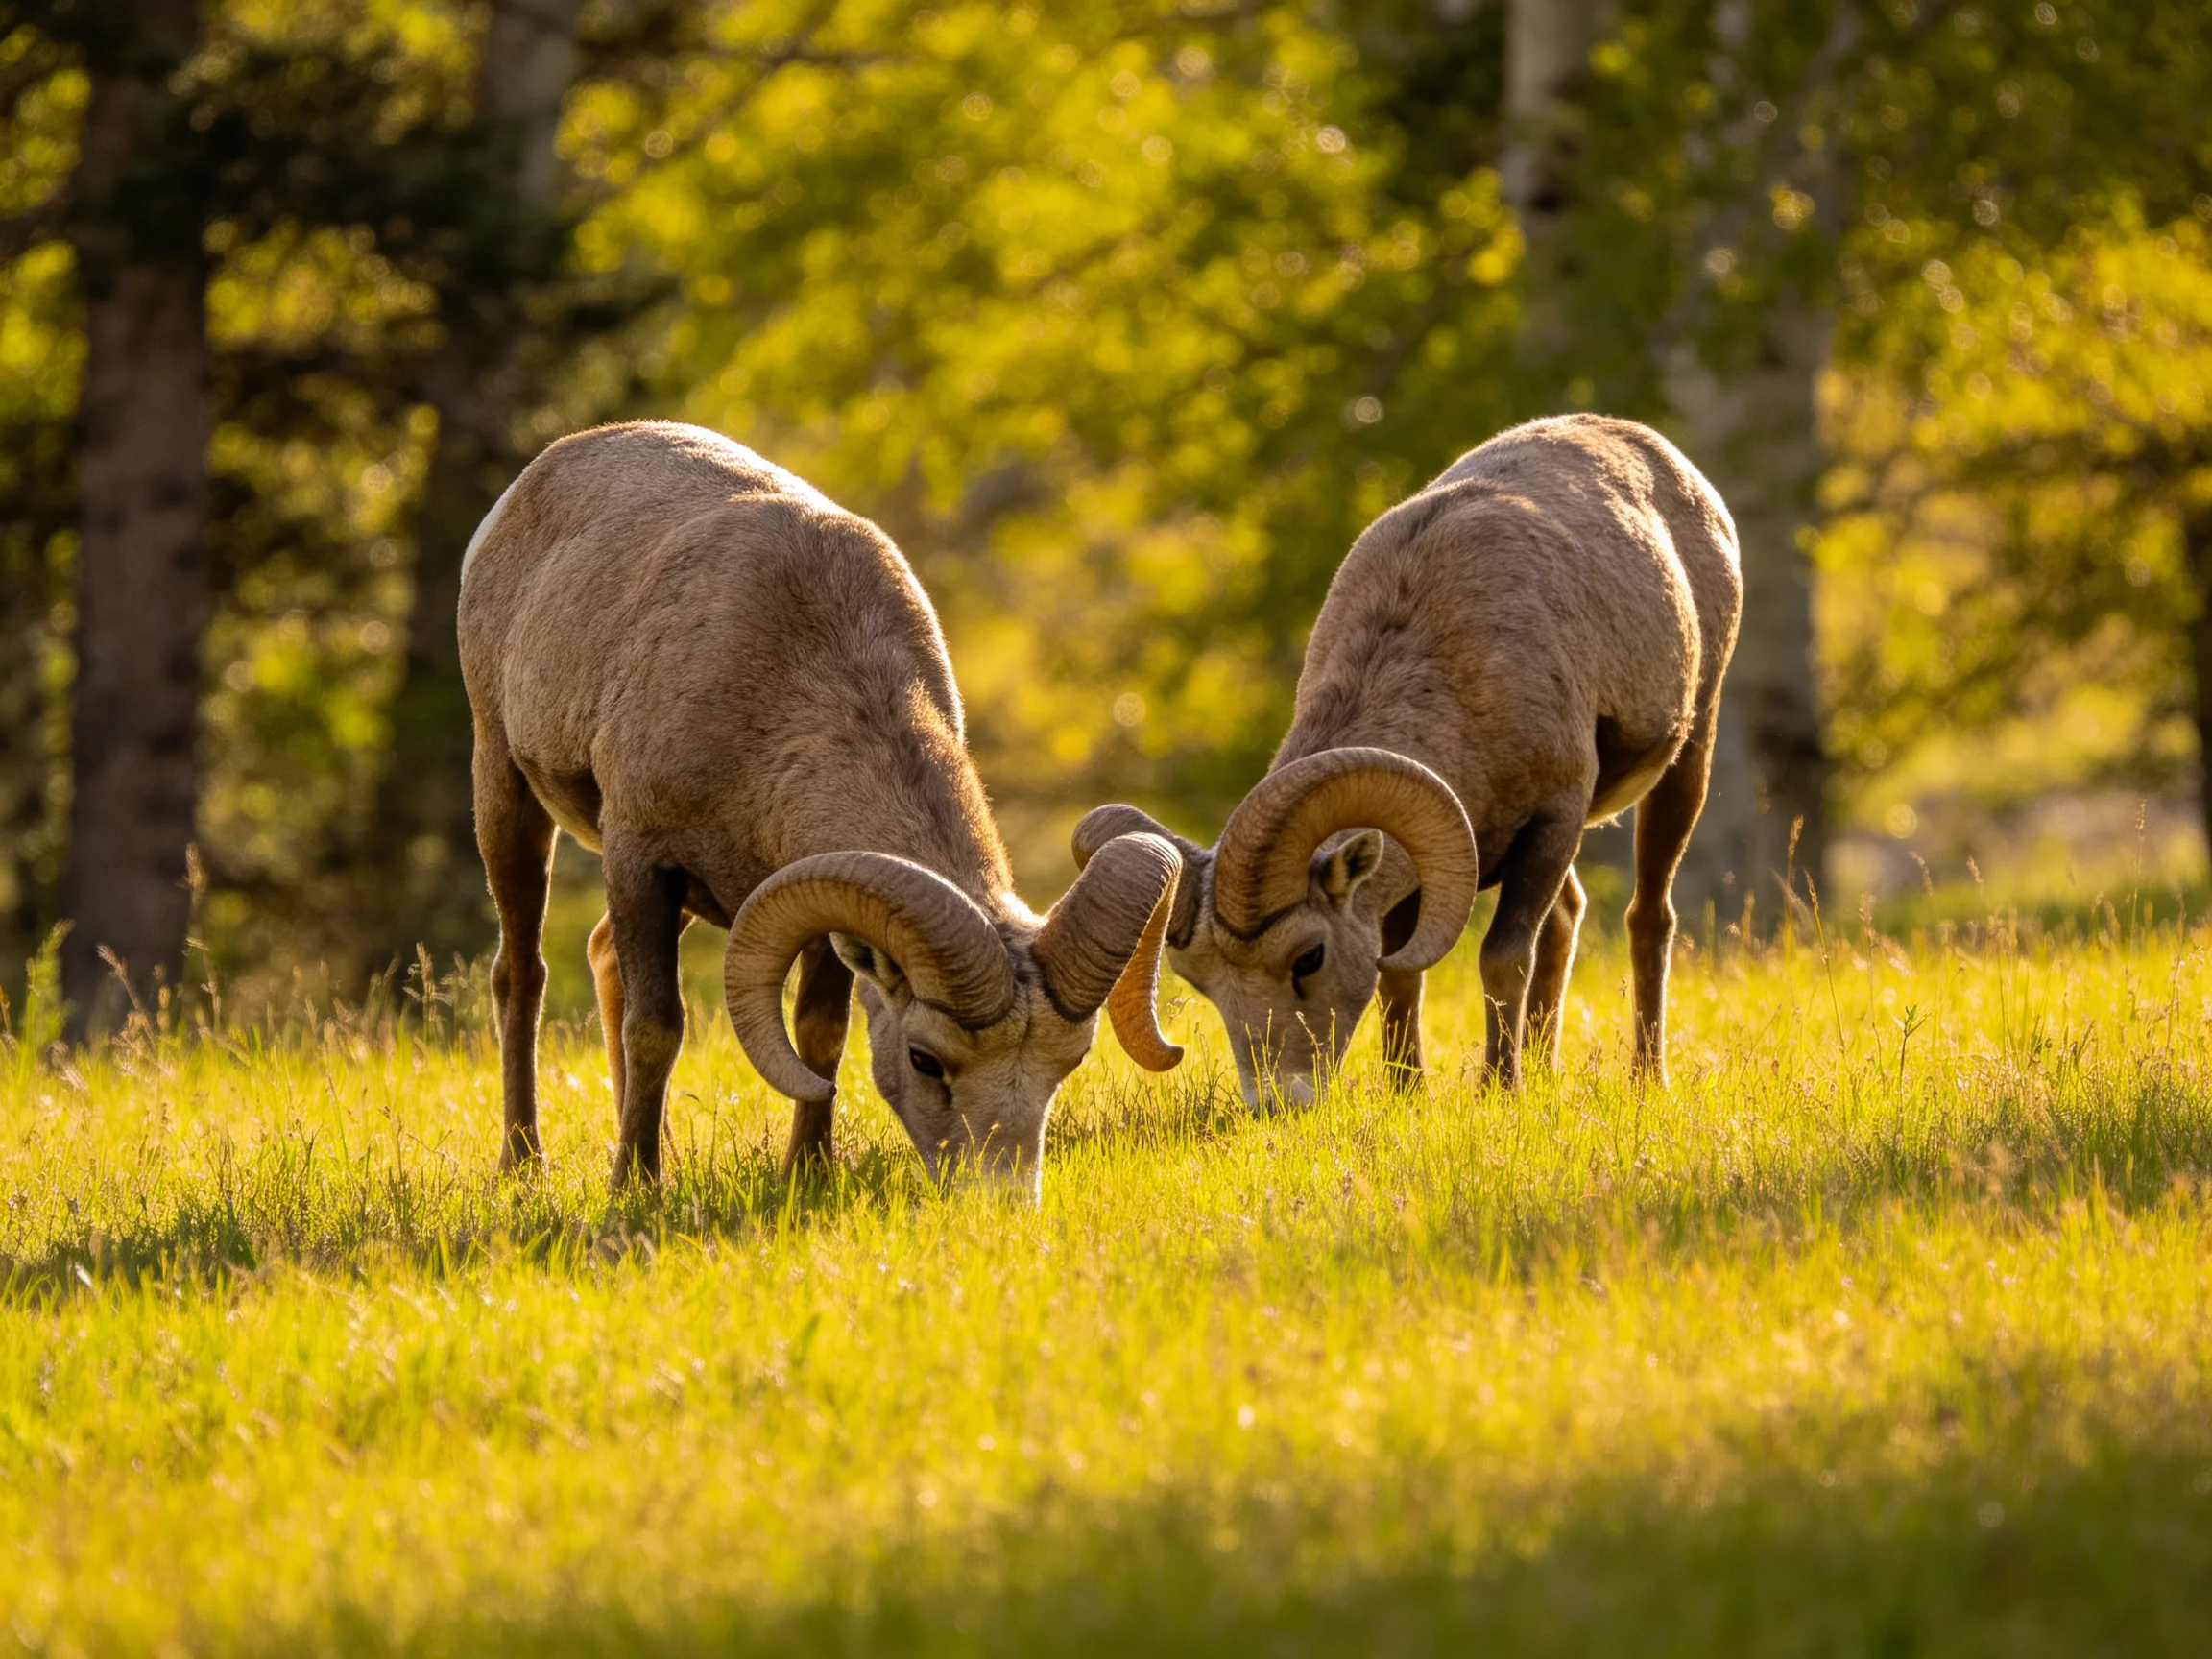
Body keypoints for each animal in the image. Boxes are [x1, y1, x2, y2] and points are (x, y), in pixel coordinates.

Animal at [458, 420, 1182, 1194]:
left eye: (1068, 1061)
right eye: (926, 1059)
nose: (1003, 1197)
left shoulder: (812, 905)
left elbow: (819, 1034)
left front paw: (806, 1172)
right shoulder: (641, 859)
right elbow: (658, 1027)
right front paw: (635, 1187)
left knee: (600, 957)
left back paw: (661, 1150)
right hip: (505, 788)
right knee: (521, 975)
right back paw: (524, 1164)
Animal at [1077, 413, 1741, 1103]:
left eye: (1308, 957)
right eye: (1200, 980)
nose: (1278, 1102)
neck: (1453, 675)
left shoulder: (1551, 823)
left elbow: (1502, 957)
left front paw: (1499, 1093)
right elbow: (1399, 975)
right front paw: (1408, 1091)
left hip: (1688, 754)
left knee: (1649, 918)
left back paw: (1646, 1077)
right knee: (1566, 922)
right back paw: (1546, 1071)